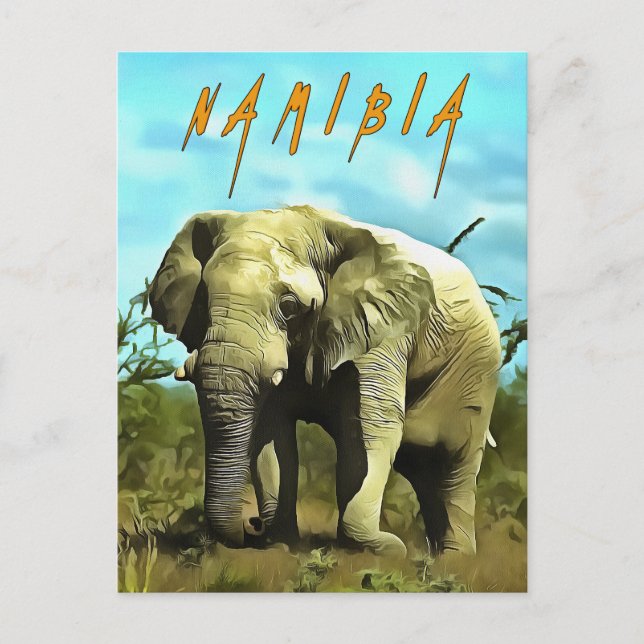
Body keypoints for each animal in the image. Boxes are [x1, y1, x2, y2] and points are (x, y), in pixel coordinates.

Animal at [149, 205, 501, 557]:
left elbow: (373, 427)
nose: (252, 526)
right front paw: (279, 545)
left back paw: (455, 558)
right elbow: (271, 434)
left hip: (476, 367)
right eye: (202, 299)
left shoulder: (383, 331)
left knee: (455, 458)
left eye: (289, 306)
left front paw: (384, 549)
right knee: (419, 466)